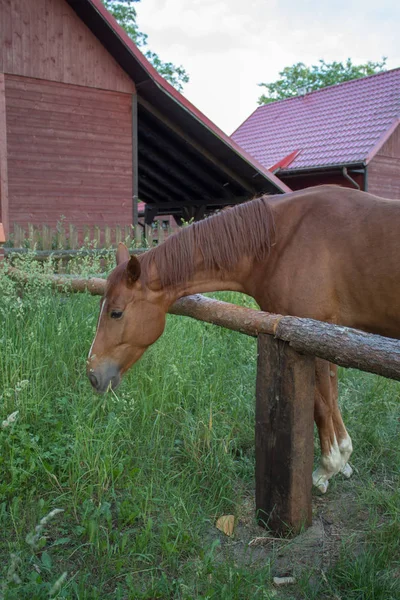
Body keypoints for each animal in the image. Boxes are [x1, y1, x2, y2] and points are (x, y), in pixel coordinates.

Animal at [86, 186, 398, 492]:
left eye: (116, 313)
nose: (92, 374)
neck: (281, 242)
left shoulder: (309, 335)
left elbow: (321, 402)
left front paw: (327, 466)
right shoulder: (327, 335)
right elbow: (331, 395)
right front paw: (343, 457)